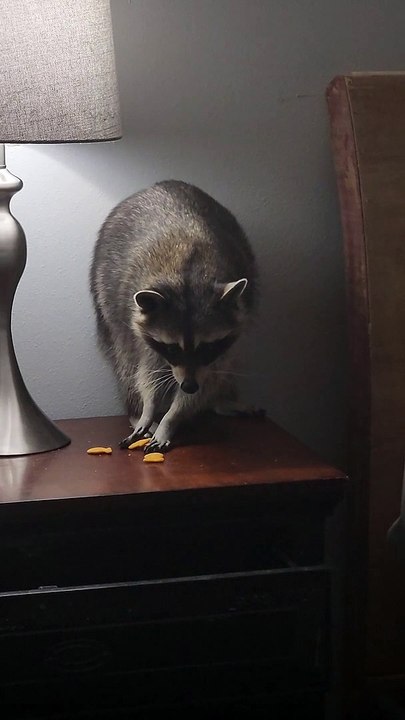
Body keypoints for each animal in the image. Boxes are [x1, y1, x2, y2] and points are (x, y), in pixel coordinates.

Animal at [90, 180, 258, 453]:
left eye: (206, 346)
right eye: (172, 348)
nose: (188, 386)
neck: (188, 274)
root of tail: (158, 185)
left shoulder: (225, 341)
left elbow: (210, 376)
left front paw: (173, 416)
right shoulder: (140, 328)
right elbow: (146, 371)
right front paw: (149, 407)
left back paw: (221, 400)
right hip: (105, 296)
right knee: (124, 358)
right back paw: (134, 408)